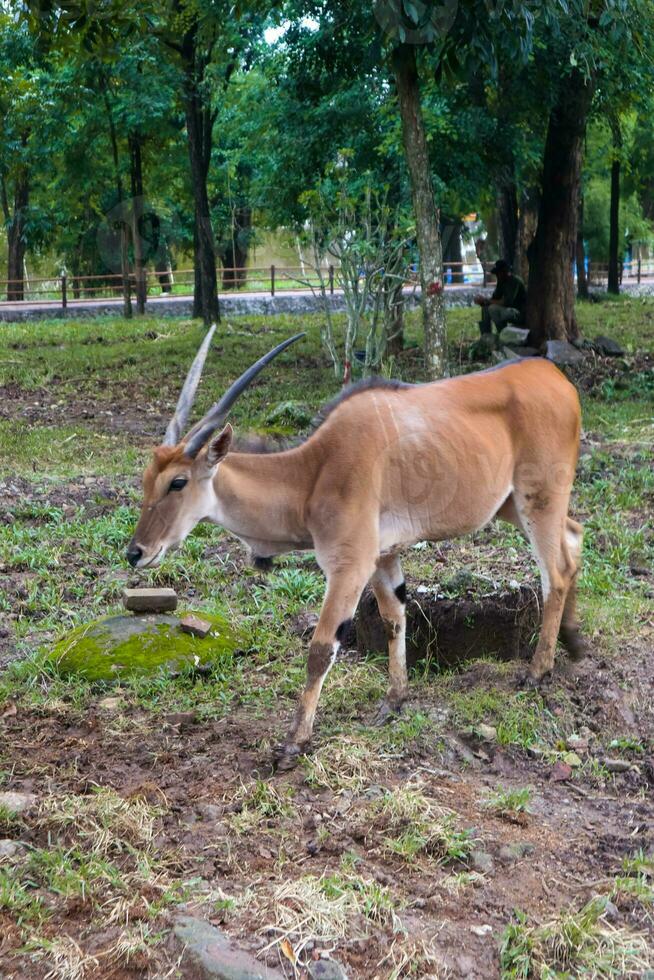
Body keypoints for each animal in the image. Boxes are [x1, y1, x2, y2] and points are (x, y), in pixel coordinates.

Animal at [128, 332, 588, 772]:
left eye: (178, 482)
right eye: (147, 479)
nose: (136, 552)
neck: (314, 472)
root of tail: (555, 377)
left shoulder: (349, 565)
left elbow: (320, 649)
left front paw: (294, 744)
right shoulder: (382, 557)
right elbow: (394, 618)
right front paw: (394, 700)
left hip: (538, 500)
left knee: (555, 572)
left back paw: (538, 670)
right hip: (512, 505)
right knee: (574, 538)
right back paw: (574, 643)